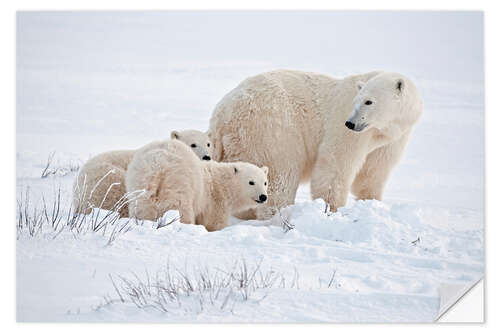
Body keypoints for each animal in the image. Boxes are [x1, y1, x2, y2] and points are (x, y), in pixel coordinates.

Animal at [127, 139, 268, 230]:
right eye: (251, 182)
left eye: (265, 182)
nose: (263, 196)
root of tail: (158, 165)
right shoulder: (214, 201)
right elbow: (213, 222)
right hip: (179, 183)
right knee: (181, 209)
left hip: (139, 184)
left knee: (143, 210)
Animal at [209, 69, 424, 219]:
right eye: (357, 101)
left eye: (369, 101)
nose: (350, 123)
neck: (384, 128)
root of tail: (222, 114)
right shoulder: (346, 127)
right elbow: (335, 163)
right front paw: (331, 209)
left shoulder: (391, 138)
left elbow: (373, 171)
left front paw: (372, 202)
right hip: (272, 130)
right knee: (280, 175)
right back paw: (277, 215)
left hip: (238, 142)